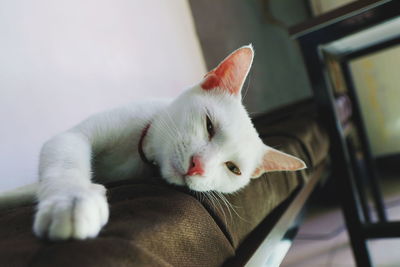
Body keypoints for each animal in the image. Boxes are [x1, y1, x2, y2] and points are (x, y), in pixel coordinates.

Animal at [33, 45, 306, 242]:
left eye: (233, 168)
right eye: (209, 126)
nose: (198, 166)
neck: (136, 156)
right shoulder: (74, 136)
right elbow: (67, 162)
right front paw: (70, 201)